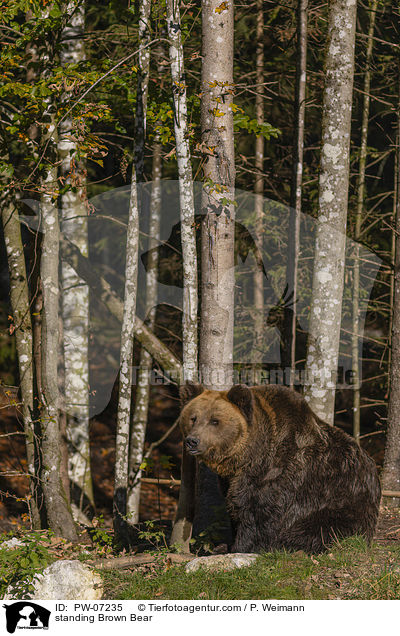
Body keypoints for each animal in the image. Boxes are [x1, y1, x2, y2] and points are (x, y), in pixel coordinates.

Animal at [179, 382, 382, 552]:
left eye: (215, 420)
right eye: (193, 418)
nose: (192, 441)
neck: (248, 457)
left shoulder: (277, 474)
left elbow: (259, 515)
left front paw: (239, 547)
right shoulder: (230, 481)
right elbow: (235, 507)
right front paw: (226, 544)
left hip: (341, 501)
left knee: (321, 529)